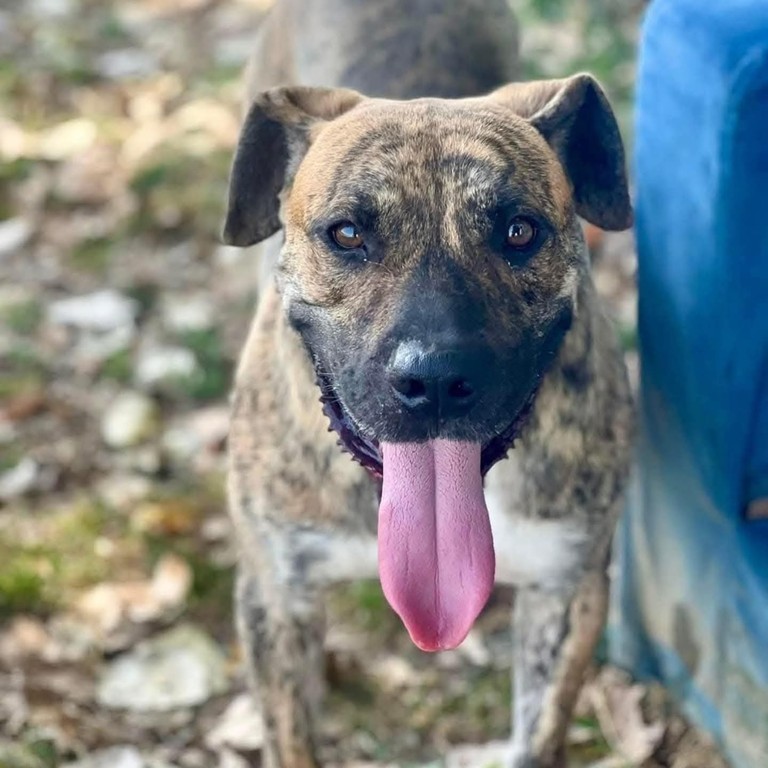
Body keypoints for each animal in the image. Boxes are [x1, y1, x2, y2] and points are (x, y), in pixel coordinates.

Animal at [223, 1, 634, 766]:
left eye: (519, 231)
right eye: (347, 233)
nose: (437, 378)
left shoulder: (568, 590)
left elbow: (537, 737)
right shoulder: (274, 593)